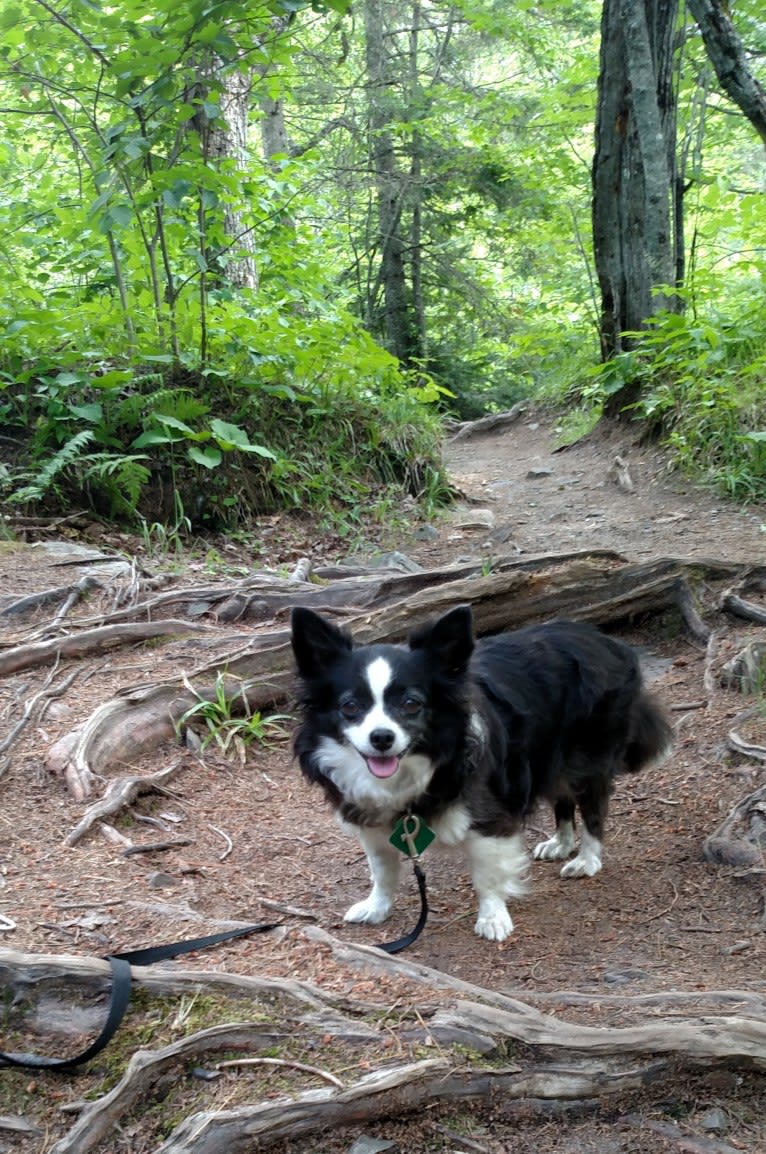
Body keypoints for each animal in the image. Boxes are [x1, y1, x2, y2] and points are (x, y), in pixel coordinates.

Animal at [290, 604, 673, 937]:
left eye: (411, 704)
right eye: (350, 706)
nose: (381, 737)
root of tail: (608, 641)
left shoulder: (489, 819)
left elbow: (487, 876)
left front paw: (492, 918)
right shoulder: (372, 821)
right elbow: (382, 869)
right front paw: (377, 907)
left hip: (587, 760)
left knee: (593, 809)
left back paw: (587, 860)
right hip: (549, 756)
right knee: (562, 799)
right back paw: (561, 843)